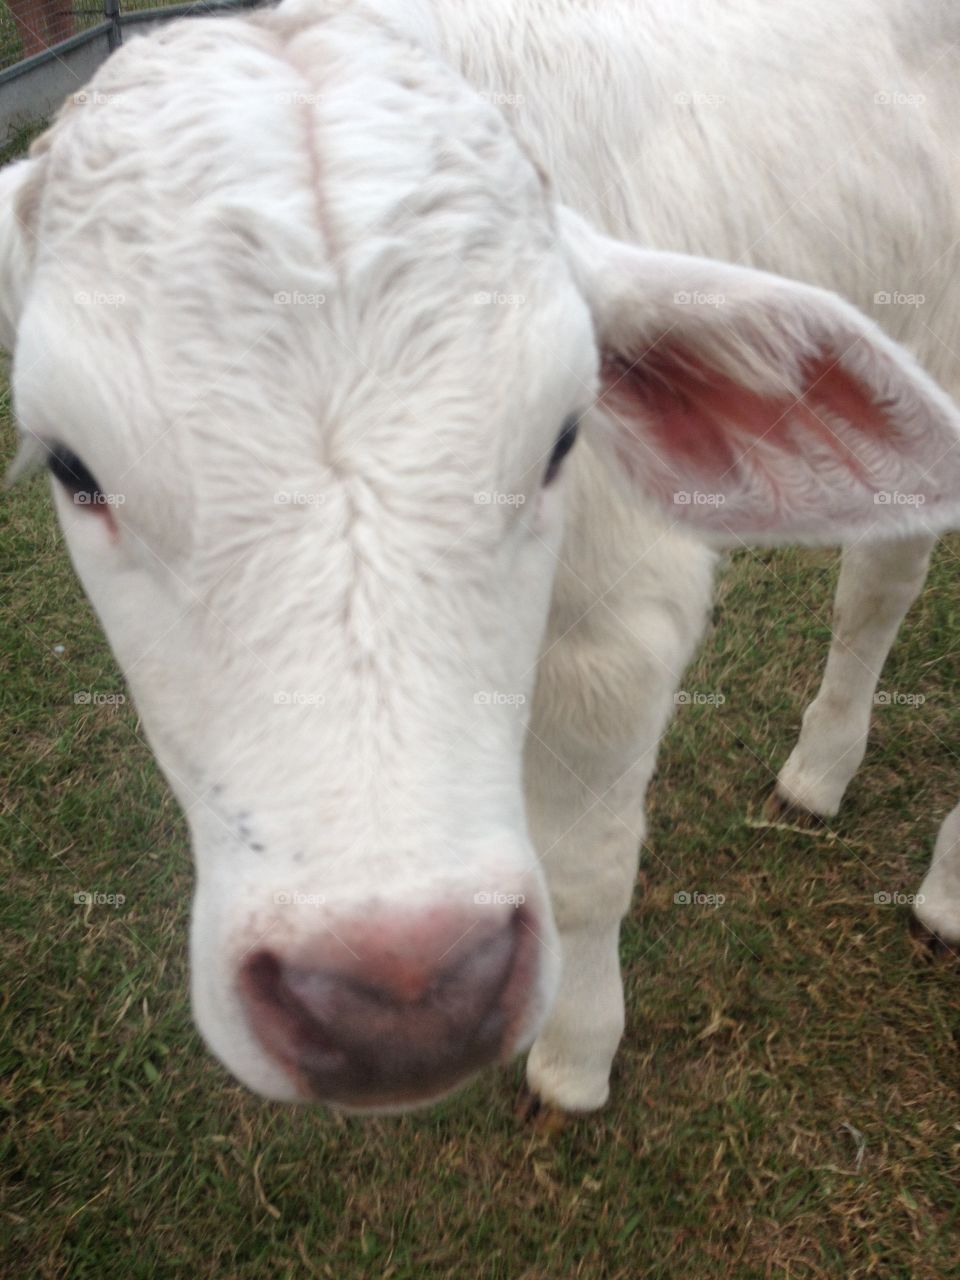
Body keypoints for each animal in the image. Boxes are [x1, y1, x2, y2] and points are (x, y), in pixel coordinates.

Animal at [1, 0, 960, 1111]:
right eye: (72, 465)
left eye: (563, 435)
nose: (398, 992)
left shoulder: (621, 631)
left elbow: (588, 870)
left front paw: (577, 1053)